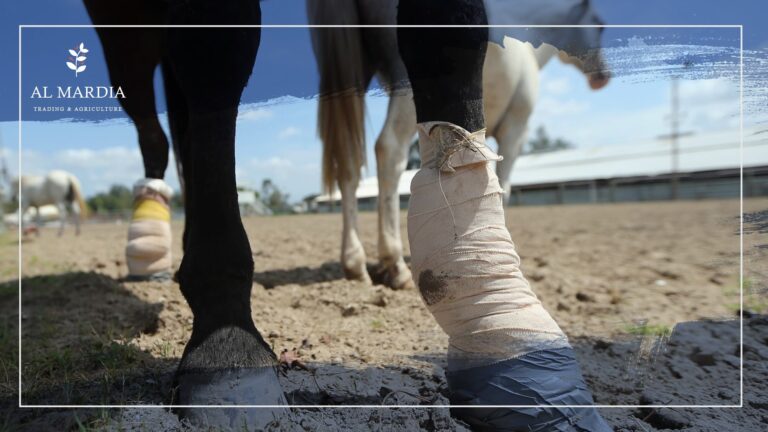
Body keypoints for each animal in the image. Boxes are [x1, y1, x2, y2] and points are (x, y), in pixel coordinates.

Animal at [308, 0, 609, 290]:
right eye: (599, 25)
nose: (603, 76)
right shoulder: (515, 130)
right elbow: (504, 184)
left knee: (349, 163)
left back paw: (355, 264)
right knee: (389, 149)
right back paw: (394, 264)